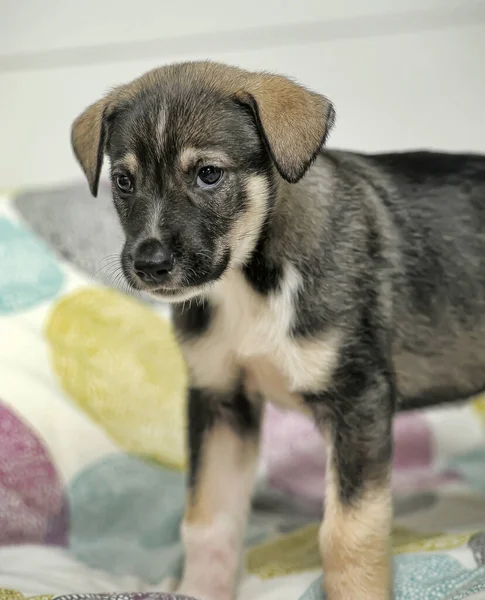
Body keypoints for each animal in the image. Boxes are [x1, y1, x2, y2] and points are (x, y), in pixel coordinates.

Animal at [70, 62, 484, 600]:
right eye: (123, 180)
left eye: (209, 174)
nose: (149, 264)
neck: (251, 282)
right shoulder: (222, 401)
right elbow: (207, 521)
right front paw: (199, 589)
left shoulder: (359, 399)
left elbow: (349, 532)